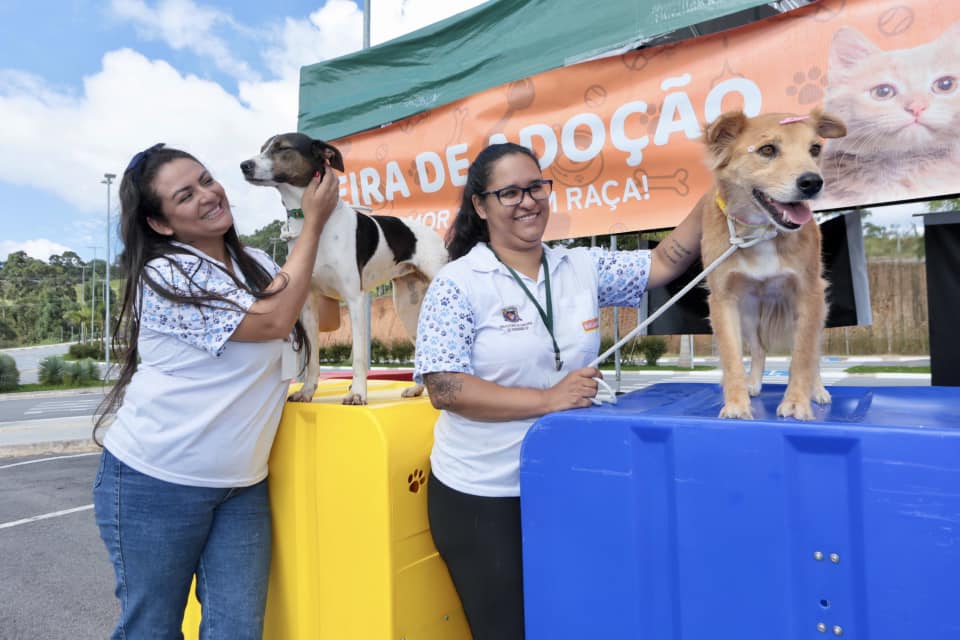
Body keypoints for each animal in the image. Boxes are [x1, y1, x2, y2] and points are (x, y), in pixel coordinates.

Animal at [240, 134, 450, 404]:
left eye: (282, 148)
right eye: (263, 148)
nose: (244, 165)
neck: (312, 221)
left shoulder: (355, 299)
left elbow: (358, 356)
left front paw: (358, 393)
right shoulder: (308, 305)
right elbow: (313, 359)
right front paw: (307, 391)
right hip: (408, 307)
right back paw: (416, 389)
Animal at [696, 110, 848, 420]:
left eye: (815, 149)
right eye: (767, 150)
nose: (813, 182)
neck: (761, 231)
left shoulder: (808, 294)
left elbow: (801, 358)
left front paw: (797, 403)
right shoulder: (723, 299)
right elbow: (731, 358)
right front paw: (736, 404)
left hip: (812, 314)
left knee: (813, 355)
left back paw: (817, 390)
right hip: (749, 313)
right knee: (759, 348)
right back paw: (753, 383)